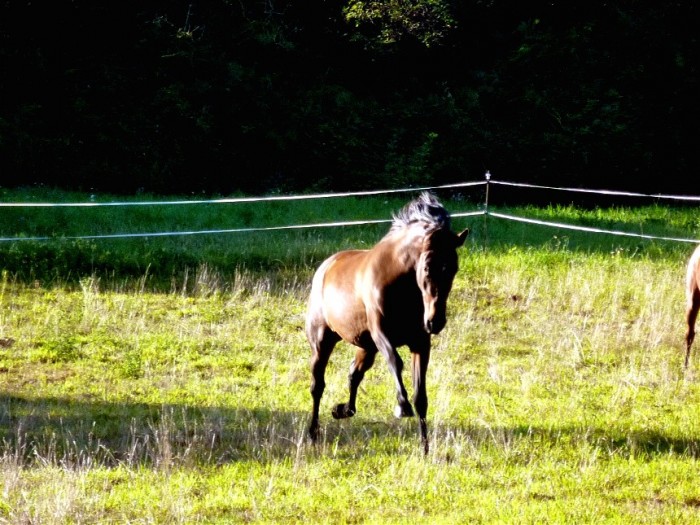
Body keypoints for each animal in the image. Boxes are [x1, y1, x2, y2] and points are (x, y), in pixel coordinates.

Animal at [306, 190, 470, 452]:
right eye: (427, 267)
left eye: (454, 268)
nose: (435, 322)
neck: (401, 282)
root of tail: (326, 266)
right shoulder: (381, 333)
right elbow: (396, 362)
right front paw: (402, 407)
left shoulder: (420, 343)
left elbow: (421, 396)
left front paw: (425, 448)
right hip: (322, 342)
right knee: (317, 385)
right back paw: (313, 433)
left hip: (366, 347)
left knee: (354, 374)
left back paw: (342, 410)